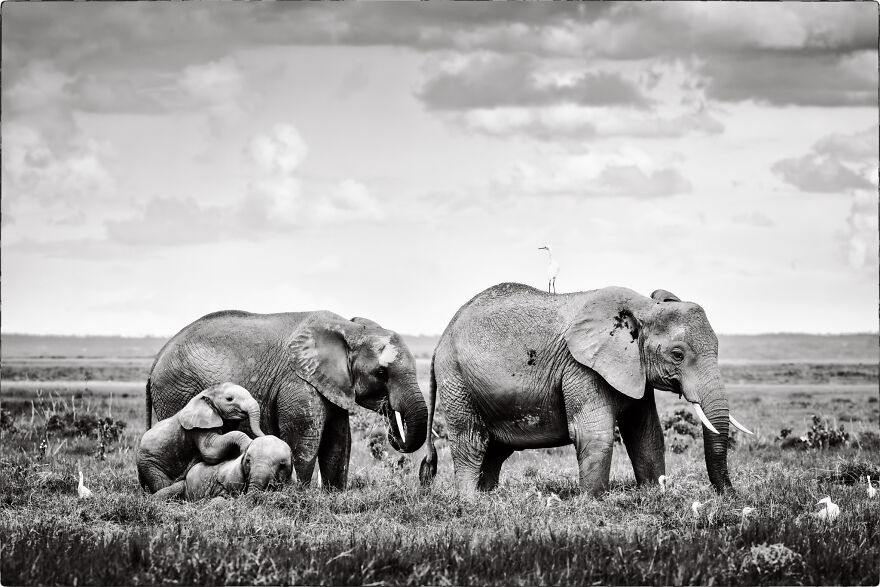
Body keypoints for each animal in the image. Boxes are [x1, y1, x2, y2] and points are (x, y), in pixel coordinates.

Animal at [146, 310, 428, 490]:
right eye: (381, 373)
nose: (393, 431)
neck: (350, 329)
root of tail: (156, 359)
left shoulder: (331, 383)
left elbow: (338, 441)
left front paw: (334, 497)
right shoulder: (298, 383)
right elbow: (306, 439)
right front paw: (298, 494)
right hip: (177, 389)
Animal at [419, 282, 752, 496]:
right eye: (678, 354)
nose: (732, 496)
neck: (644, 307)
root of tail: (440, 339)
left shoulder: (634, 370)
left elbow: (646, 434)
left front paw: (654, 494)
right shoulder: (580, 366)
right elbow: (595, 434)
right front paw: (592, 503)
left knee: (496, 449)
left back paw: (489, 499)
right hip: (456, 379)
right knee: (471, 441)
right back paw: (471, 503)